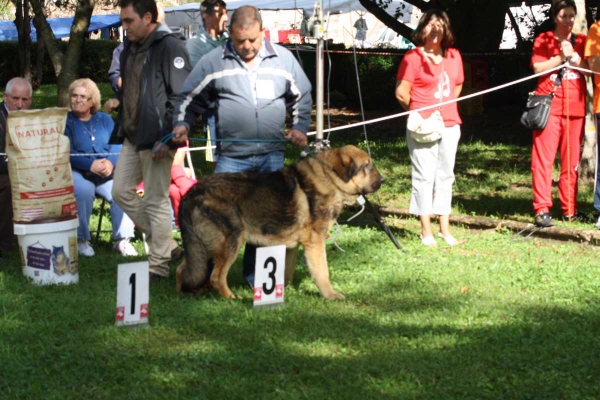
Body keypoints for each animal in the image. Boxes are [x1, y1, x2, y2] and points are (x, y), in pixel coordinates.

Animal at [176, 145, 382, 298]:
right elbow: (323, 272)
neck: (328, 177)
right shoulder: (316, 243)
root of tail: (191, 193)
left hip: (199, 248)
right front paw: (330, 295)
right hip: (230, 244)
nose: (383, 179)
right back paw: (232, 298)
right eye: (367, 166)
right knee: (216, 277)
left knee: (183, 269)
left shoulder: (294, 246)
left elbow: (286, 272)